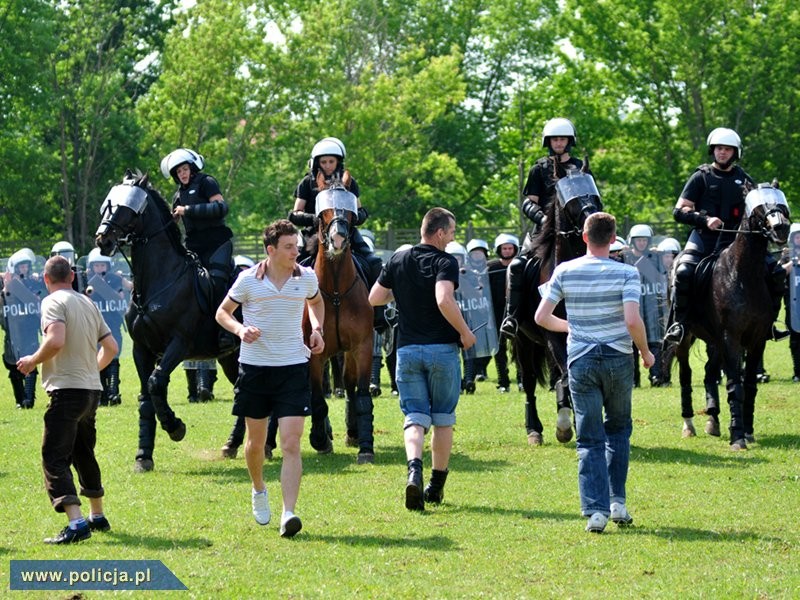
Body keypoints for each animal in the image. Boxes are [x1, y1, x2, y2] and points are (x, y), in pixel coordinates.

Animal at [94, 171, 238, 472]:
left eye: (127, 207)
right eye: (107, 205)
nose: (103, 240)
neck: (159, 281)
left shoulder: (179, 344)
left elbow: (155, 383)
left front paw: (175, 427)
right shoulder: (142, 350)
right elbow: (146, 398)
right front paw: (143, 455)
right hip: (231, 358)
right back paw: (235, 444)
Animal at [304, 188, 376, 464]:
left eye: (350, 210)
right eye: (323, 211)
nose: (338, 239)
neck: (334, 291)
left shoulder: (362, 346)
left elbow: (362, 394)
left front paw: (366, 446)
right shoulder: (314, 352)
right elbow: (316, 397)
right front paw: (319, 439)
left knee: (350, 386)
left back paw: (353, 432)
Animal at [512, 168, 600, 446]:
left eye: (592, 189)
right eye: (568, 196)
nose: (594, 218)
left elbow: (571, 377)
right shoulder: (551, 335)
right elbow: (568, 377)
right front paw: (566, 425)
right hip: (523, 341)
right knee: (530, 381)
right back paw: (534, 429)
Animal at [664, 185, 792, 448]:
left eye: (780, 202)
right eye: (759, 206)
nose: (781, 228)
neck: (743, 276)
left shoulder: (756, 340)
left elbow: (750, 385)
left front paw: (748, 430)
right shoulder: (731, 338)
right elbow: (735, 385)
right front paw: (737, 437)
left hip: (715, 341)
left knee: (709, 373)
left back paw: (713, 420)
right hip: (687, 337)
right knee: (685, 373)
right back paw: (689, 424)